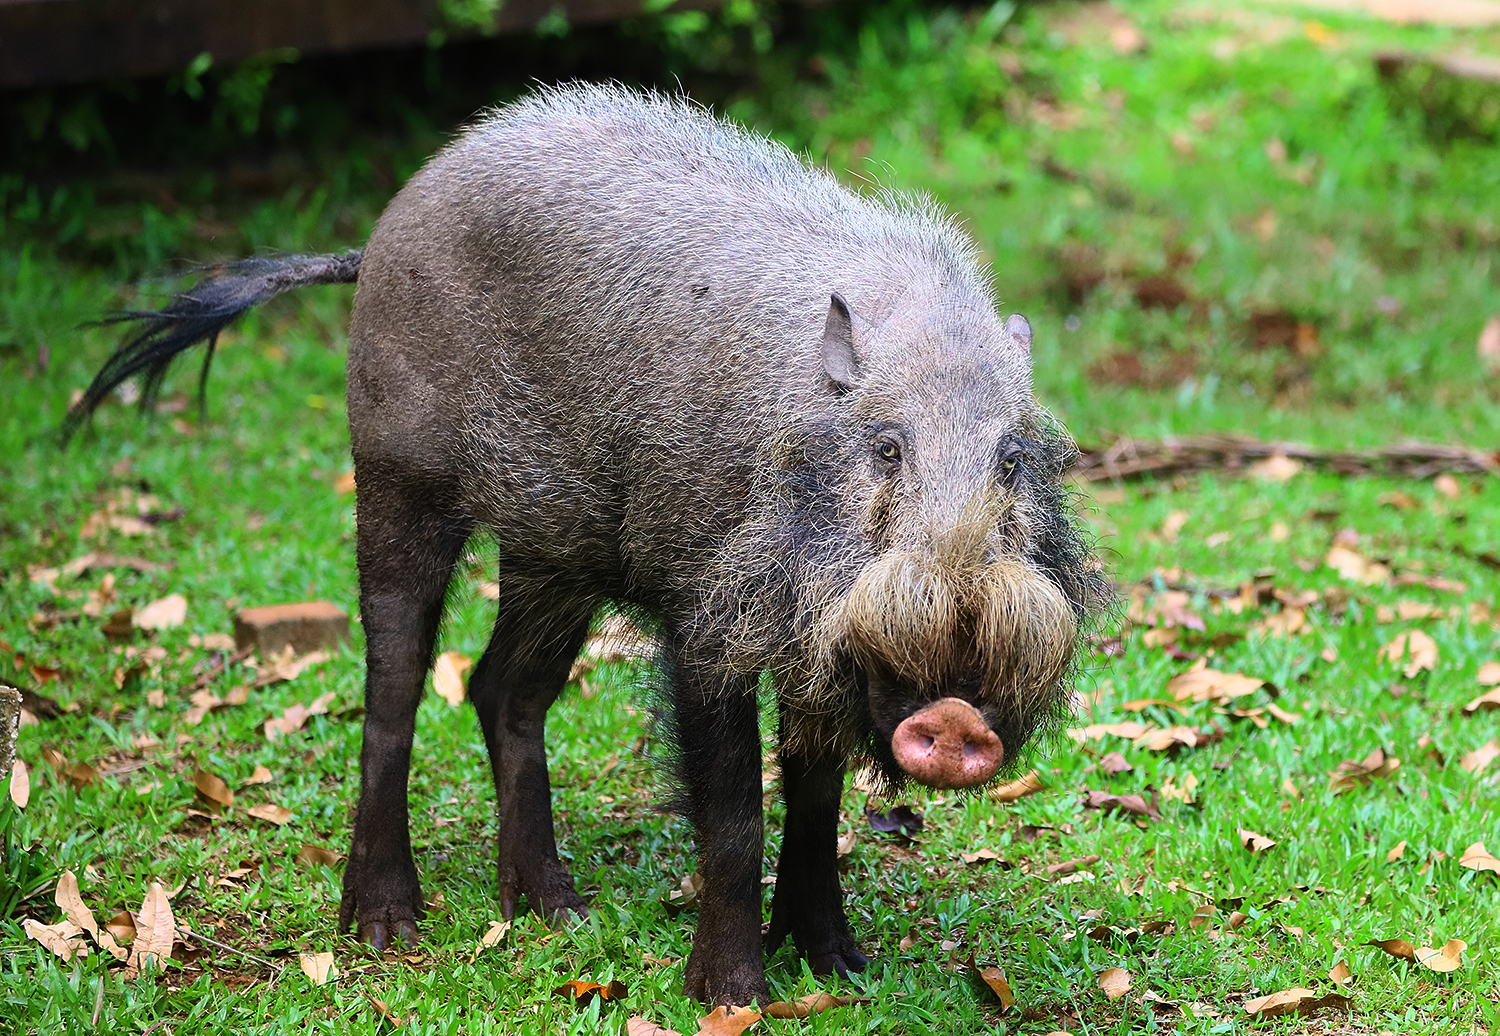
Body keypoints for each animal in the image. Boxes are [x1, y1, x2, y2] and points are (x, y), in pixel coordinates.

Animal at [69, 83, 1107, 1006]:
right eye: (887, 448)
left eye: (1013, 459)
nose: (958, 718)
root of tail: (374, 240)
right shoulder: (707, 624)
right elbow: (736, 813)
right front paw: (733, 996)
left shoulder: (813, 640)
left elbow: (814, 800)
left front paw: (839, 968)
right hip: (397, 476)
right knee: (395, 682)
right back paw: (386, 927)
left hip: (553, 556)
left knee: (503, 689)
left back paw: (555, 910)